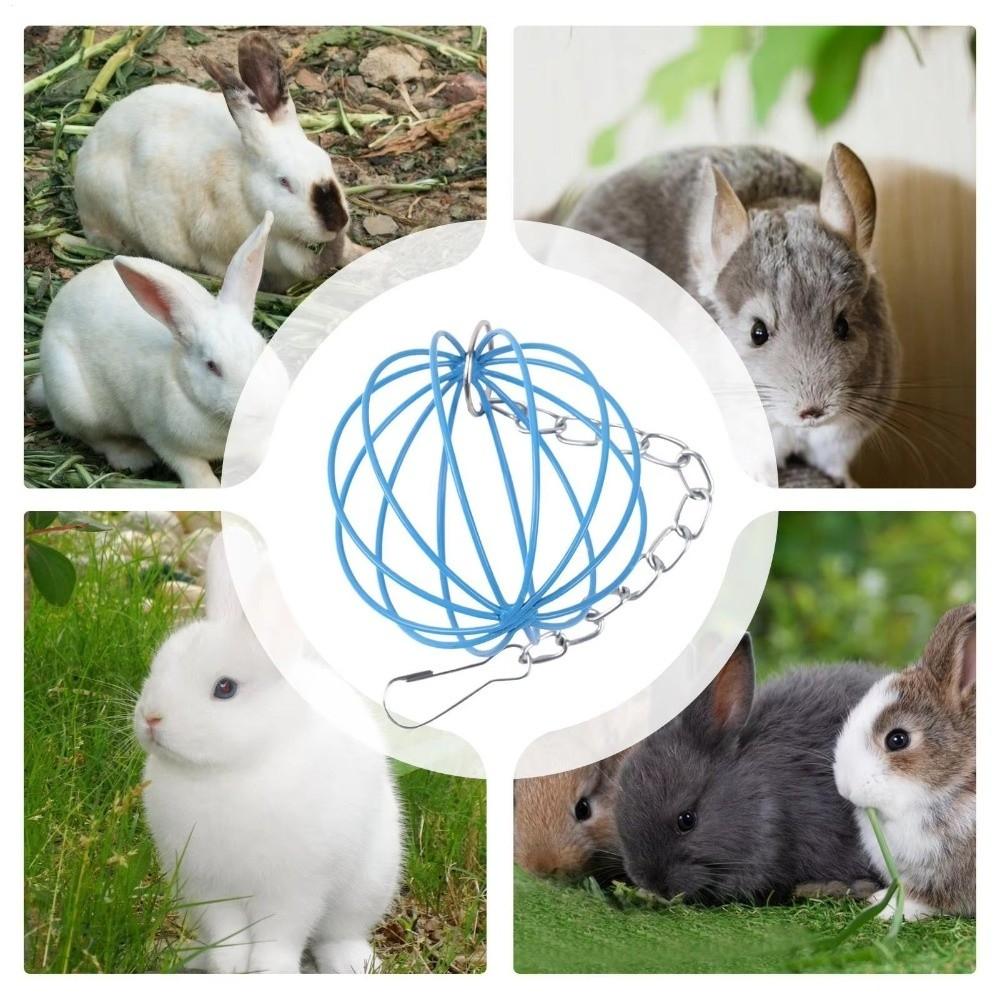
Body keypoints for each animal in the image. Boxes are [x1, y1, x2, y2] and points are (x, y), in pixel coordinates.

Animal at [27, 212, 288, 488]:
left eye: (261, 347)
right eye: (212, 366)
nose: (262, 407)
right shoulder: (165, 441)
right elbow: (194, 469)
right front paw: (209, 487)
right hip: (76, 403)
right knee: (96, 438)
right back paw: (133, 456)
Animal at [134, 528, 402, 973]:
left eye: (225, 688)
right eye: (158, 667)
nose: (151, 718)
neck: (228, 770)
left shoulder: (294, 888)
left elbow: (279, 936)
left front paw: (269, 971)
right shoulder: (206, 887)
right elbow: (227, 937)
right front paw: (228, 968)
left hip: (368, 885)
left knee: (338, 934)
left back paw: (353, 964)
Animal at [565, 144, 901, 485]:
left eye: (843, 326)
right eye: (757, 332)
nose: (812, 411)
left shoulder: (843, 437)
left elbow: (834, 464)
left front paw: (846, 483)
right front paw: (765, 481)